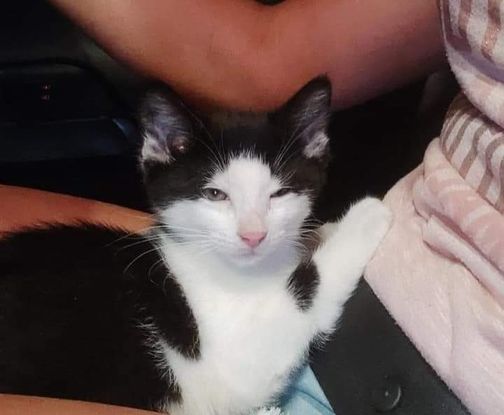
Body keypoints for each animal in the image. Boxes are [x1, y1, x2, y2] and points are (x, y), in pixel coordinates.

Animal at [0, 77, 392, 415]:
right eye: (215, 195)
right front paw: (368, 214)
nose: (253, 235)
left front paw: (322, 230)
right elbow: (308, 287)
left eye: (280, 193)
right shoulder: (235, 368)